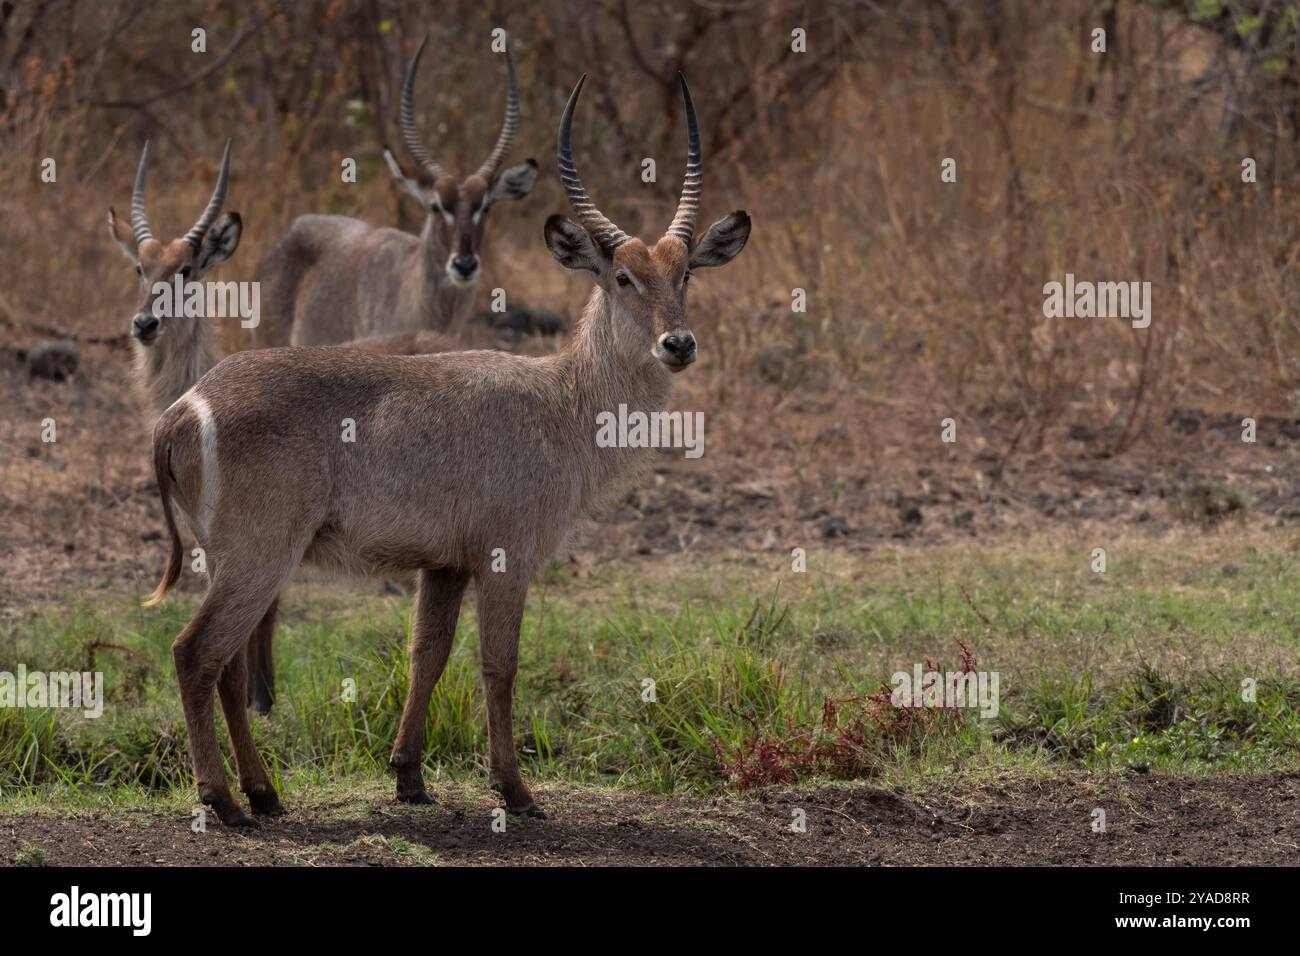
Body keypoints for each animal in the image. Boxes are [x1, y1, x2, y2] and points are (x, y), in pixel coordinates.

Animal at [111, 140, 454, 712]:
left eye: (186, 269)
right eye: (140, 267)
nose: (144, 323)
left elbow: (268, 608)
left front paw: (263, 695)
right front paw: (258, 691)